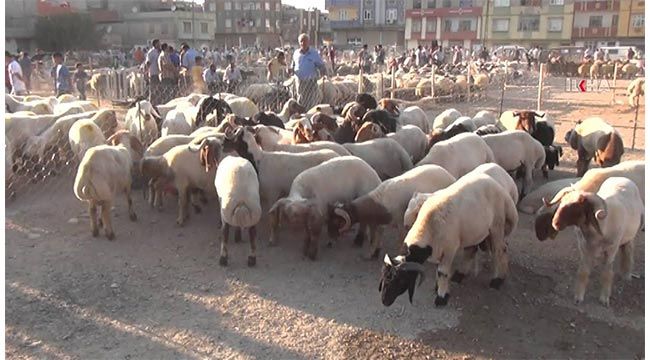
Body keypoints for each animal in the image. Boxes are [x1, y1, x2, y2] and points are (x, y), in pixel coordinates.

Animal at [380, 174, 516, 306]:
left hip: (497, 225)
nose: (384, 301)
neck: (428, 226)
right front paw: (438, 288)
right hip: (473, 229)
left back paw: (498, 280)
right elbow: (438, 269)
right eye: (385, 275)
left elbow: (442, 272)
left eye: (401, 279)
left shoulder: (449, 249)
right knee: (471, 250)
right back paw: (460, 274)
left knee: (500, 250)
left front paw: (441, 297)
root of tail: (499, 188)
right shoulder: (438, 249)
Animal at [540, 177, 640, 306]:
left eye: (575, 207)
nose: (555, 223)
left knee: (628, 251)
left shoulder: (611, 251)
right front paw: (578, 297)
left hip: (629, 237)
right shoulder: (584, 248)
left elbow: (607, 273)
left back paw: (627, 275)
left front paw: (604, 298)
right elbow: (583, 272)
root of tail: (622, 178)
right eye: (561, 203)